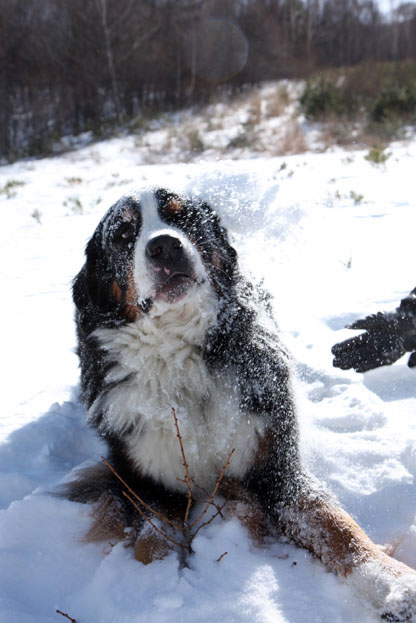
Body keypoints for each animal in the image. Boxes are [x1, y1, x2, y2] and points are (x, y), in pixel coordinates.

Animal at [65, 188, 416, 620]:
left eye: (183, 218)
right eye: (123, 234)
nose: (165, 246)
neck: (182, 357)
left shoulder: (275, 467)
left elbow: (337, 528)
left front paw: (396, 585)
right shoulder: (145, 483)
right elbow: (152, 543)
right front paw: (150, 591)